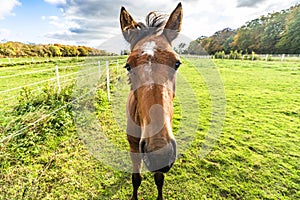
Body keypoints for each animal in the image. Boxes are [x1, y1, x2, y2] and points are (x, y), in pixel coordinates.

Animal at [119, 3, 183, 200]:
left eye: (177, 63)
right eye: (128, 66)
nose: (159, 153)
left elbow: (159, 180)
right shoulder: (134, 146)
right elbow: (136, 178)